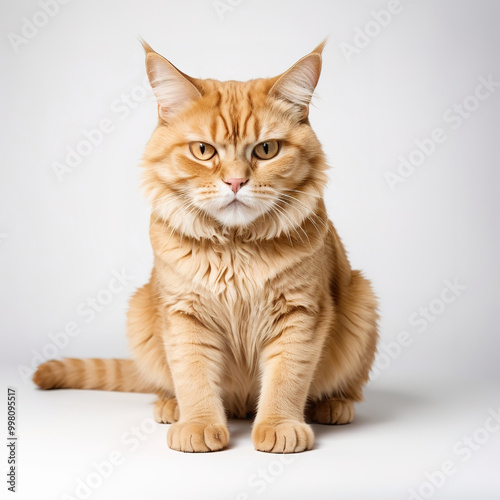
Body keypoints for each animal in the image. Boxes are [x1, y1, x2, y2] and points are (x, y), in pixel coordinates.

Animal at [34, 39, 378, 454]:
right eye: (203, 150)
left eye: (266, 150)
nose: (235, 182)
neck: (236, 247)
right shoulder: (184, 315)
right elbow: (193, 377)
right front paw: (198, 425)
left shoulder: (300, 313)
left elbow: (286, 379)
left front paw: (279, 426)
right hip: (140, 312)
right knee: (167, 386)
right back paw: (170, 407)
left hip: (362, 302)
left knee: (346, 389)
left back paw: (333, 406)